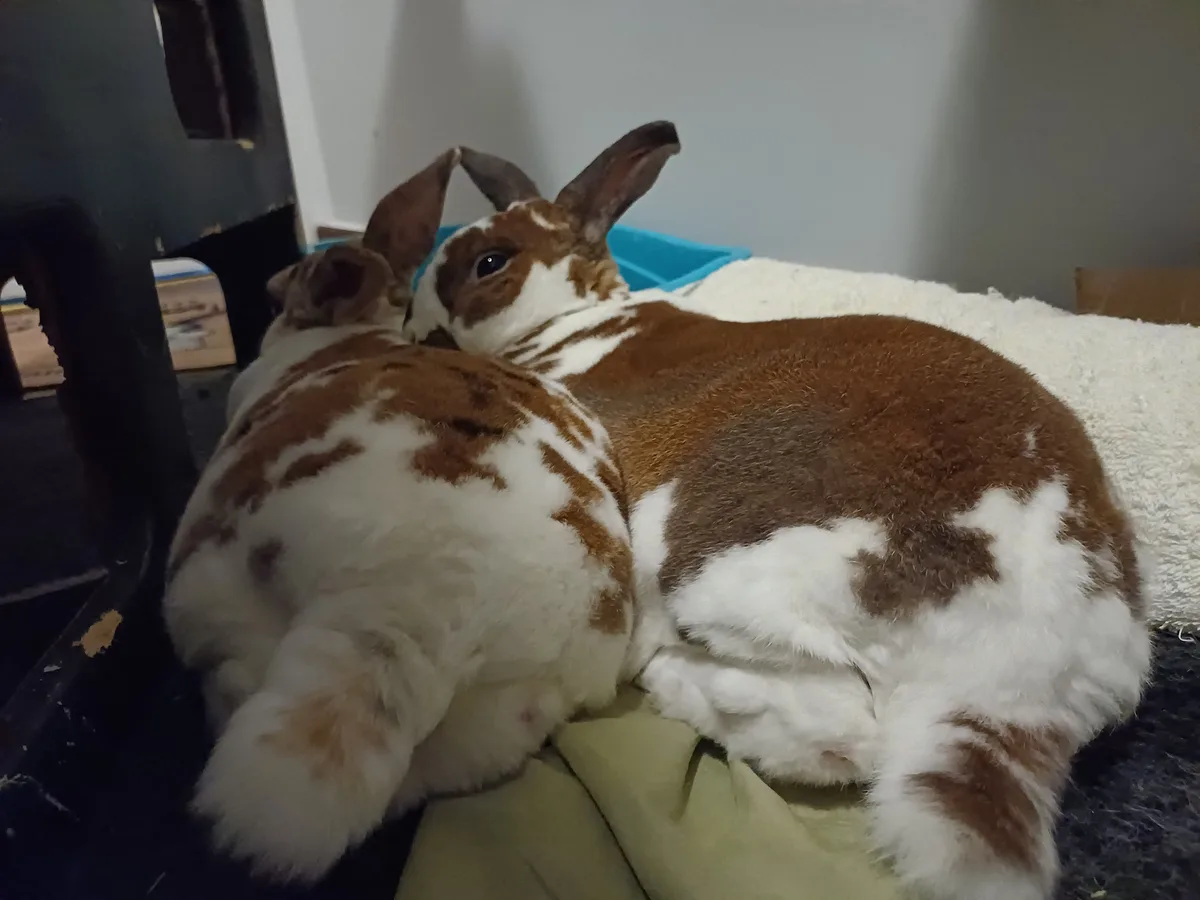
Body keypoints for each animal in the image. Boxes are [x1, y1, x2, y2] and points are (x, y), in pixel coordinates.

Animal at [399, 123, 1153, 900]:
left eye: (490, 261)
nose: (417, 329)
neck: (569, 322)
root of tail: (1014, 666)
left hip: (722, 580)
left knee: (837, 732)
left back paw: (669, 681)